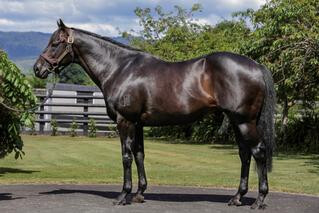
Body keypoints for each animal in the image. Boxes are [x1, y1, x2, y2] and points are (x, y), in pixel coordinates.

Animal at [33, 20, 276, 210]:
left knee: (258, 152)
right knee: (245, 155)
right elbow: (140, 155)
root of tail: (256, 66)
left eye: (55, 43)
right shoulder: (138, 124)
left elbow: (126, 156)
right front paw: (139, 194)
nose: (38, 68)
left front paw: (123, 195)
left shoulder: (125, 121)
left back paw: (259, 200)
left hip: (244, 122)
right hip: (237, 122)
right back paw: (236, 198)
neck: (120, 68)